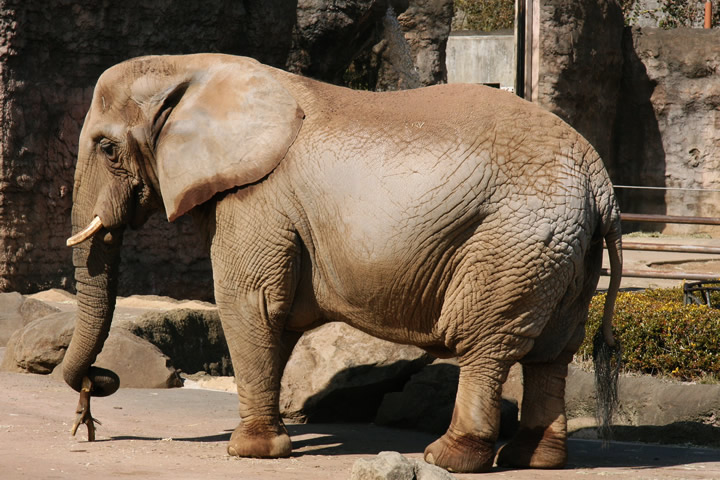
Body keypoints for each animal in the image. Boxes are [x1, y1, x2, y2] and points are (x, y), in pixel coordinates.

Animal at [64, 52, 620, 472]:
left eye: (107, 148)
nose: (93, 400)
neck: (191, 68)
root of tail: (601, 186)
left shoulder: (256, 197)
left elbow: (252, 304)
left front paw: (250, 452)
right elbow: (277, 318)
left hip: (514, 243)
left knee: (486, 343)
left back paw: (447, 458)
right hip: (565, 252)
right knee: (553, 352)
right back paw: (535, 459)